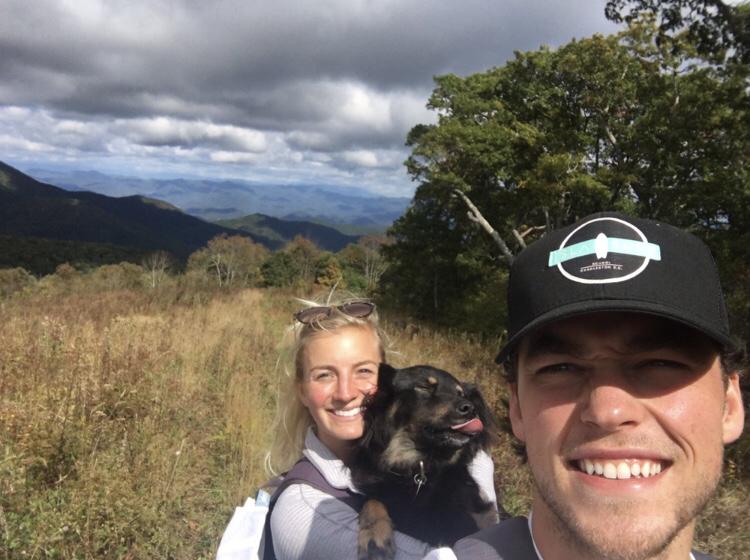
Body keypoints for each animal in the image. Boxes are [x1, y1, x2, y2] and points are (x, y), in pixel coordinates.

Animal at [348, 364, 502, 559]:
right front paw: (374, 535)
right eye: (424, 387)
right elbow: (372, 501)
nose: (471, 408)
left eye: (461, 394)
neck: (420, 470)